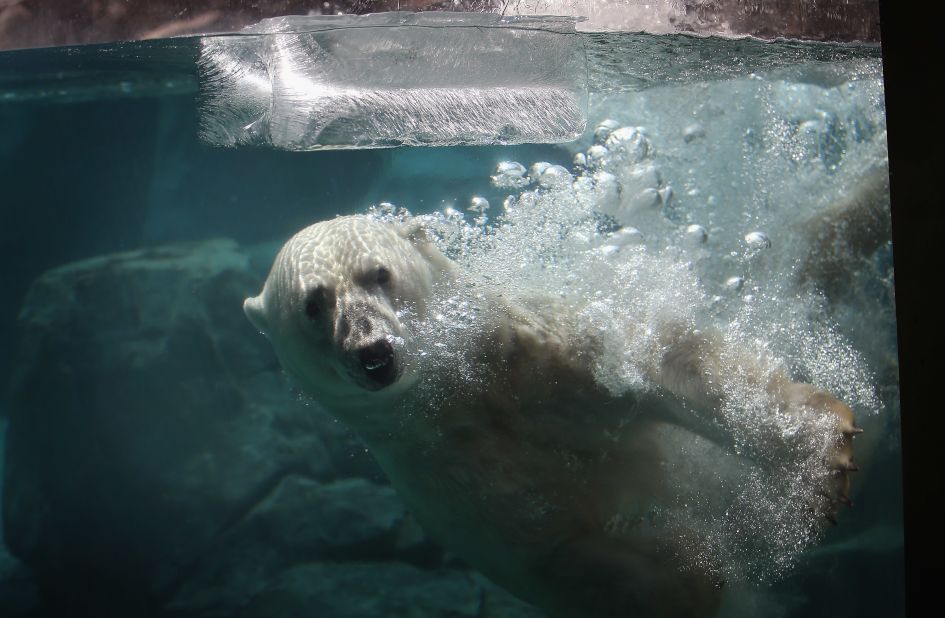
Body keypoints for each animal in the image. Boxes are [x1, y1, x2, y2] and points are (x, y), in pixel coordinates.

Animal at [242, 213, 856, 616]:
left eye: (379, 274)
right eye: (314, 304)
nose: (374, 353)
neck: (466, 392)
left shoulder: (541, 355)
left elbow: (669, 366)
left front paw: (821, 458)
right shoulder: (457, 487)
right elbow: (575, 558)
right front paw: (702, 576)